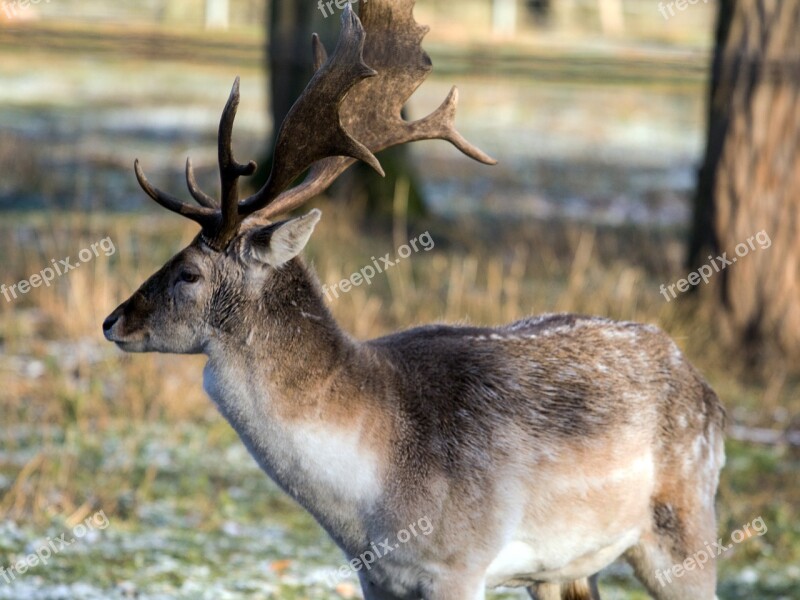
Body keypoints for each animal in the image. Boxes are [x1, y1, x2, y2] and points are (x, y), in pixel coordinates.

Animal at [100, 2, 724, 596]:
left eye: (188, 273)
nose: (112, 321)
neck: (368, 512)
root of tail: (706, 389)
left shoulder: (460, 562)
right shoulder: (376, 578)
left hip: (687, 528)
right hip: (564, 571)